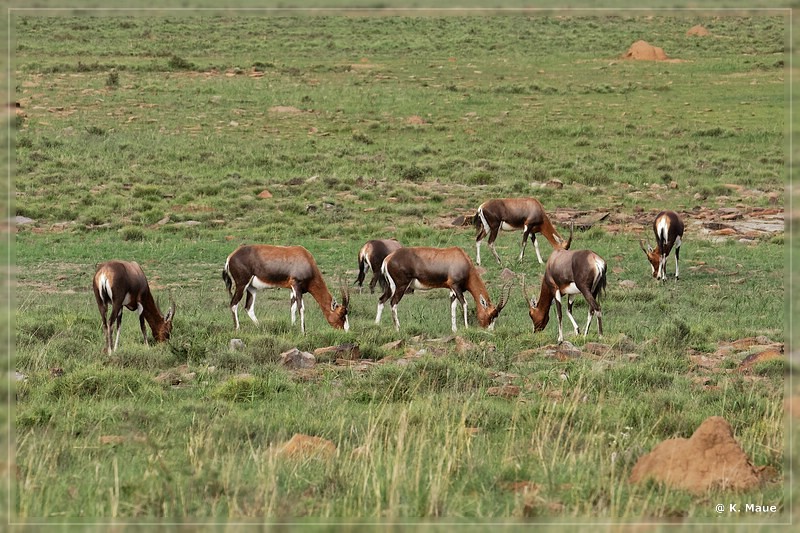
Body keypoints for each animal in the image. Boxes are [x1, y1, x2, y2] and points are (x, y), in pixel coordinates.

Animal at [376, 246, 512, 330]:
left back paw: (376, 324)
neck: (460, 257)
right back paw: (398, 328)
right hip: (401, 286)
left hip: (391, 287)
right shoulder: (456, 287)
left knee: (382, 299)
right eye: (491, 315)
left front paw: (454, 330)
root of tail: (388, 258)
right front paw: (466, 327)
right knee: (393, 302)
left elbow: (453, 306)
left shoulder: (452, 290)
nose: (489, 330)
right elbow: (464, 304)